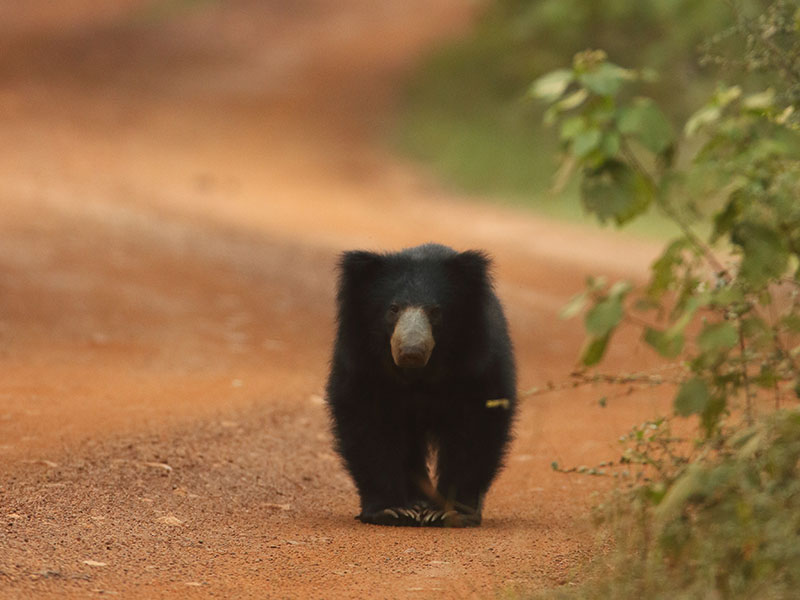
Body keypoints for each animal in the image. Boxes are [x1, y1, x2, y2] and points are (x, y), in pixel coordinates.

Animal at [326, 241, 520, 528]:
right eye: (393, 309)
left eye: (435, 311)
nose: (411, 351)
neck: (417, 375)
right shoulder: (362, 362)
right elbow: (367, 423)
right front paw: (391, 510)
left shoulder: (478, 364)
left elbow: (477, 425)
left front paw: (448, 512)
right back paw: (416, 502)